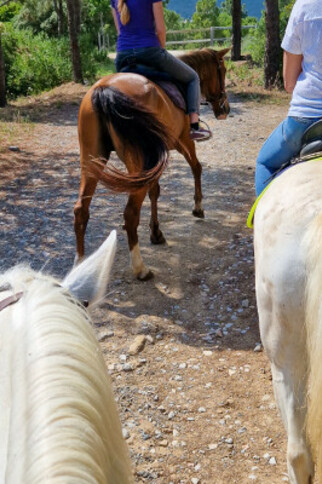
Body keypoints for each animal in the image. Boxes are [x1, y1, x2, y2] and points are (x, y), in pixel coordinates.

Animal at [74, 47, 230, 280]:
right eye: (224, 70)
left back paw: (80, 267)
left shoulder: (157, 157)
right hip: (139, 163)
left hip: (93, 160)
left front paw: (156, 232)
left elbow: (155, 191)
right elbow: (196, 168)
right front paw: (198, 207)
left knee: (81, 210)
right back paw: (141, 268)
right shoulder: (184, 141)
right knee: (130, 213)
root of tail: (103, 90)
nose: (225, 109)